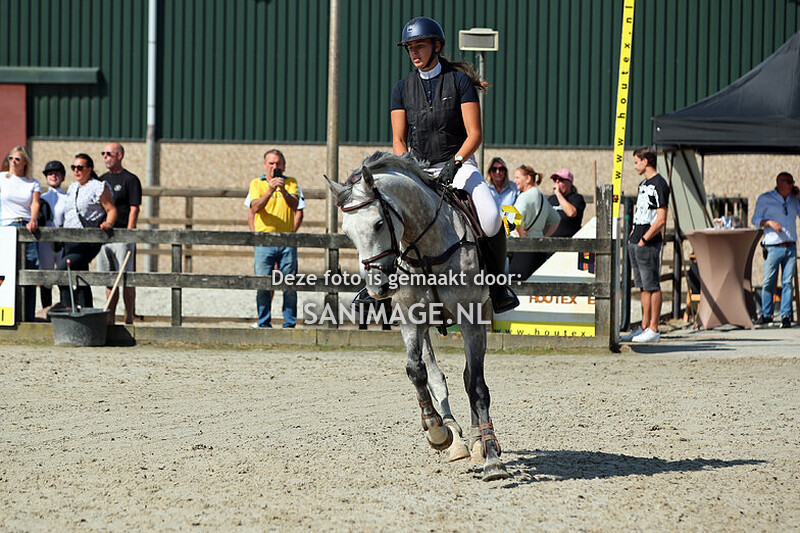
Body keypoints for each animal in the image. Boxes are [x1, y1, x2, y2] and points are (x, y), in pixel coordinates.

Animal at [326, 151, 510, 482]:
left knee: (469, 377)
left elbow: (477, 386)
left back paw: (478, 441)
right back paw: (454, 437)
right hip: (425, 327)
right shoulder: (411, 319)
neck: (424, 247)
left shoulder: (471, 320)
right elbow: (416, 371)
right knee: (436, 376)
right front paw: (437, 431)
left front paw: (491, 458)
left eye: (378, 224)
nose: (378, 288)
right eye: (347, 232)